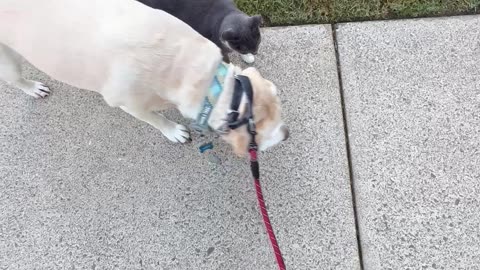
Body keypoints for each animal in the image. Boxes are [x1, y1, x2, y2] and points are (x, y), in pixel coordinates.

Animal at [0, 0, 288, 156]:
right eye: (258, 134)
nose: (287, 134)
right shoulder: (129, 103)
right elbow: (155, 119)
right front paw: (173, 131)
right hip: (8, 62)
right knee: (16, 79)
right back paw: (33, 87)